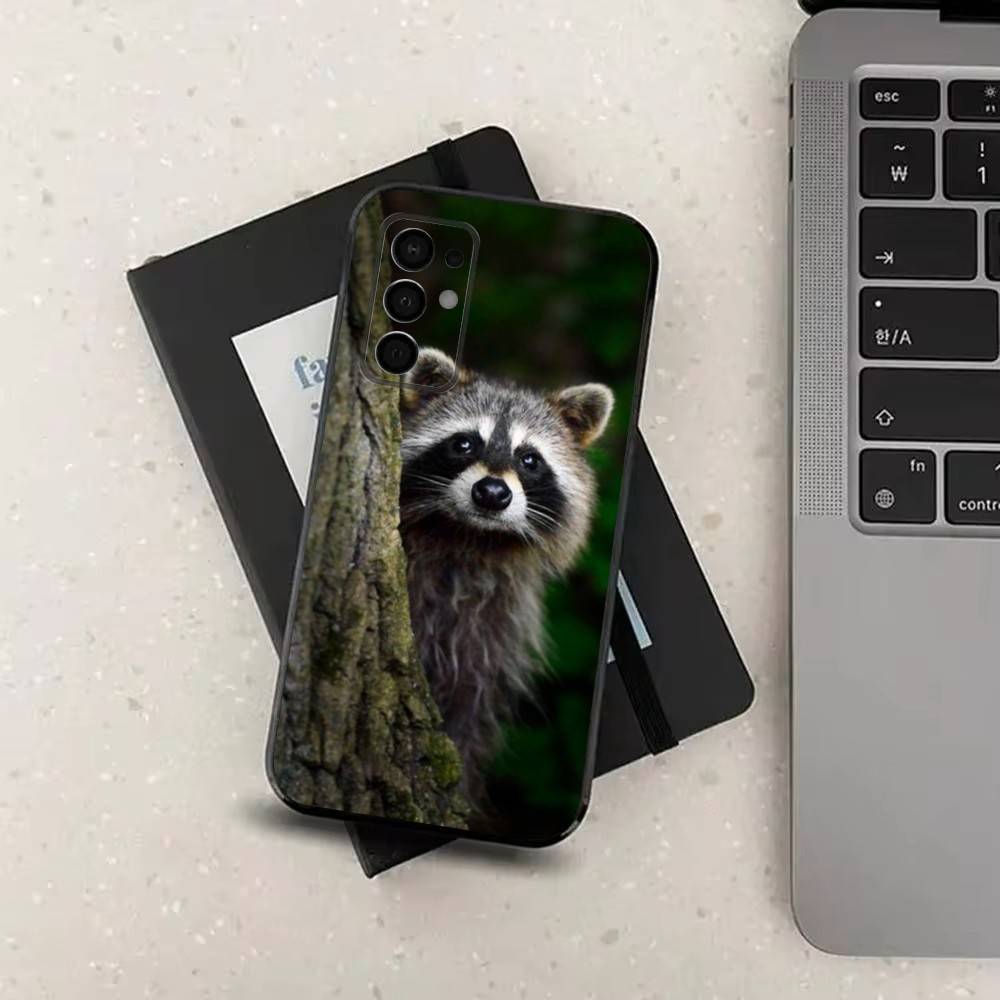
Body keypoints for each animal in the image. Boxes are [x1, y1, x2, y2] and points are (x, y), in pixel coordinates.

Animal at [398, 348, 614, 799]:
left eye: (529, 459)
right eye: (463, 443)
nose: (492, 493)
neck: (471, 539)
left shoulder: (496, 629)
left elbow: (472, 708)